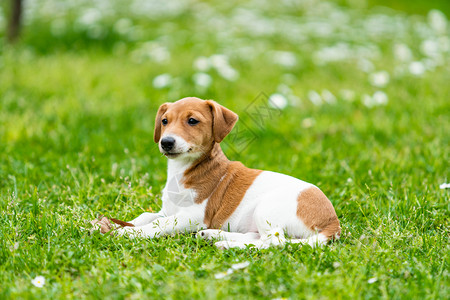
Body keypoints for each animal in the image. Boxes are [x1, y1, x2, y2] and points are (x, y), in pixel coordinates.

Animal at [117, 96, 342, 248]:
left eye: (192, 121)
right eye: (164, 121)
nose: (166, 142)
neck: (182, 170)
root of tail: (333, 221)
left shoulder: (193, 215)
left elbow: (159, 224)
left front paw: (130, 233)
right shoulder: (168, 210)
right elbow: (146, 216)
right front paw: (121, 225)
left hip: (268, 208)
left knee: (273, 242)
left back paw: (226, 245)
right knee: (258, 237)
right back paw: (213, 236)